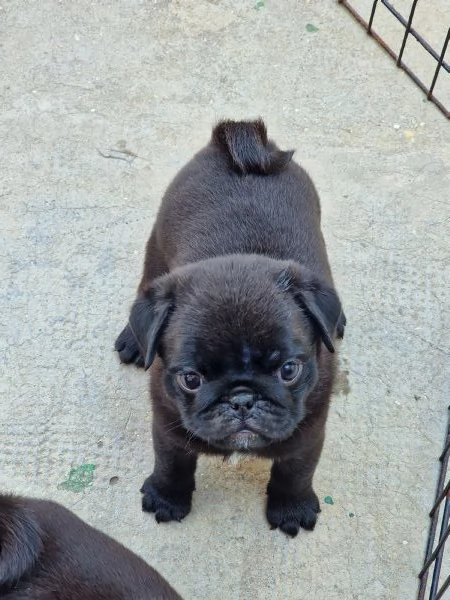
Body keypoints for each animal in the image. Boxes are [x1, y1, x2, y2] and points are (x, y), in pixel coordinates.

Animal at [115, 116, 344, 536]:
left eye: (289, 370)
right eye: (191, 379)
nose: (241, 399)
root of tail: (240, 140)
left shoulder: (308, 433)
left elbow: (295, 472)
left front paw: (292, 508)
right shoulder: (168, 426)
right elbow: (171, 463)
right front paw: (166, 498)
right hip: (156, 249)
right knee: (145, 285)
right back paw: (133, 340)